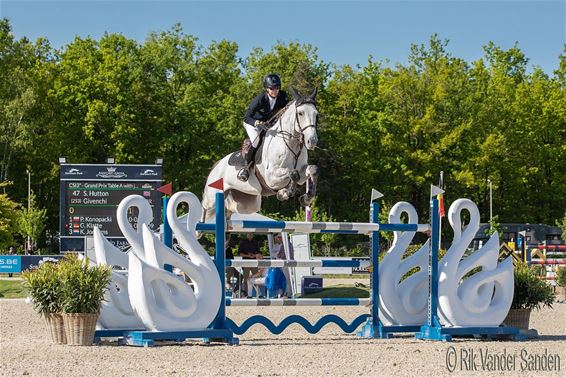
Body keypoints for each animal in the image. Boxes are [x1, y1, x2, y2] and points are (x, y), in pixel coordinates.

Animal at [203, 86, 320, 222]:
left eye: (316, 114)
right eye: (301, 113)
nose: (312, 141)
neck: (291, 143)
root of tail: (217, 165)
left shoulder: (302, 173)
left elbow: (312, 169)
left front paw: (306, 198)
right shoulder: (271, 177)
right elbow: (293, 173)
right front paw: (284, 193)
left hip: (246, 204)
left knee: (228, 212)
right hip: (211, 197)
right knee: (204, 211)